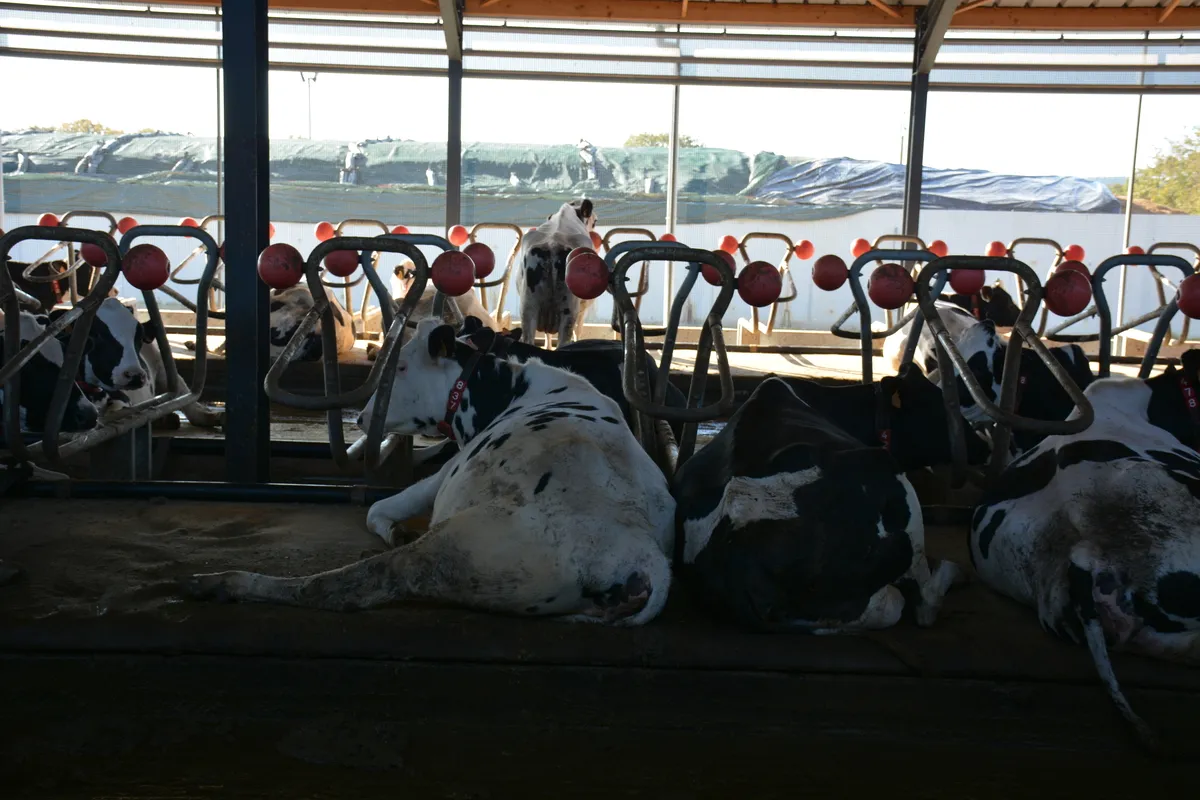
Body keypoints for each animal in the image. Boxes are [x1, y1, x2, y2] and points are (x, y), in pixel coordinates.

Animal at [184, 318, 676, 625]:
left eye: (402, 365)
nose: (363, 418)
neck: (508, 388)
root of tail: (644, 557)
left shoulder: (452, 465)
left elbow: (381, 507)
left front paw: (393, 527)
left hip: (457, 550)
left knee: (344, 588)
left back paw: (222, 582)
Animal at [515, 199, 597, 348]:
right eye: (595, 221)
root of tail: (553, 244)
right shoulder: (583, 308)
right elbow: (579, 330)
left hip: (528, 307)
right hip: (569, 311)